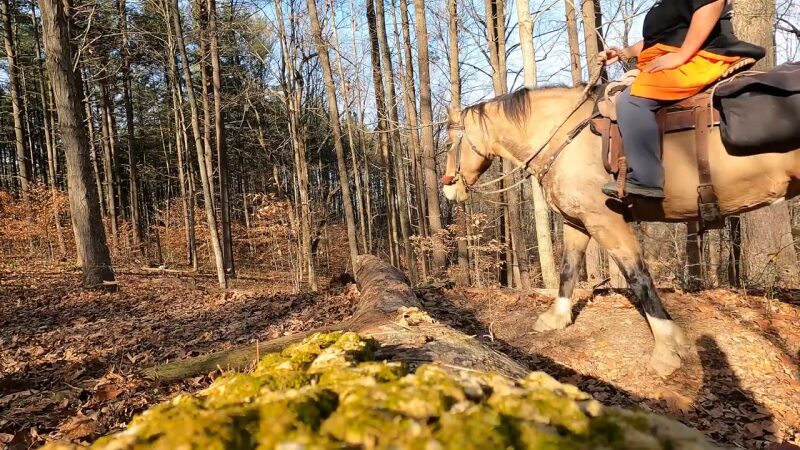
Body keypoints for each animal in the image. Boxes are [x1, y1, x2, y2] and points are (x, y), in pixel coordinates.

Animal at [440, 86, 800, 378]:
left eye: (448, 142)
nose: (447, 188)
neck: (567, 138)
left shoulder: (605, 222)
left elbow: (638, 278)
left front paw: (667, 348)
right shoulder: (577, 223)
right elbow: (568, 269)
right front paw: (556, 318)